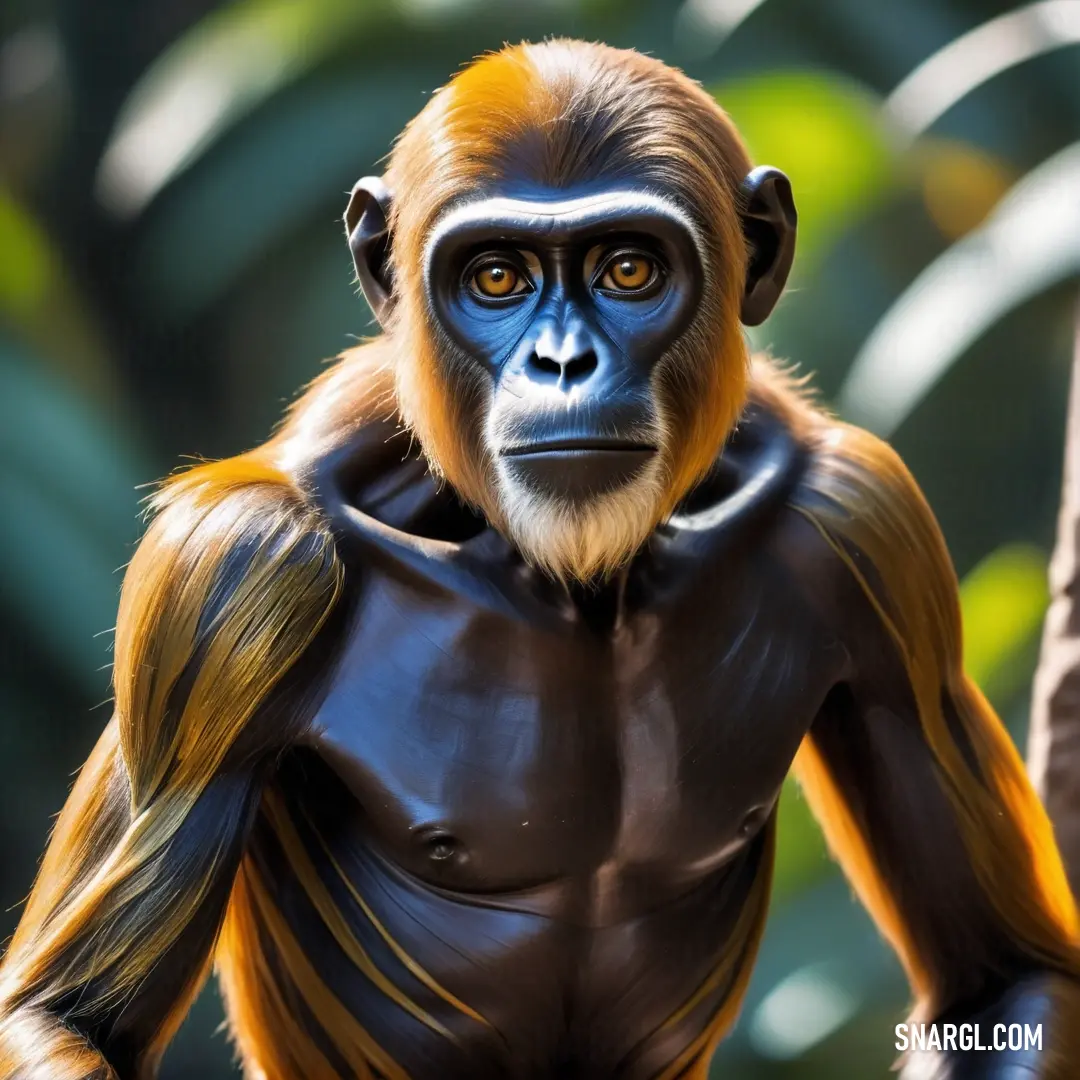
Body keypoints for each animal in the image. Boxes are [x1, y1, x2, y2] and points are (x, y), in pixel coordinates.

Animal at [2, 33, 1080, 1080]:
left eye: (630, 270)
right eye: (496, 278)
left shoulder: (865, 526)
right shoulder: (230, 578)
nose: (563, 361)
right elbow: (64, 1017)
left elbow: (1006, 978)